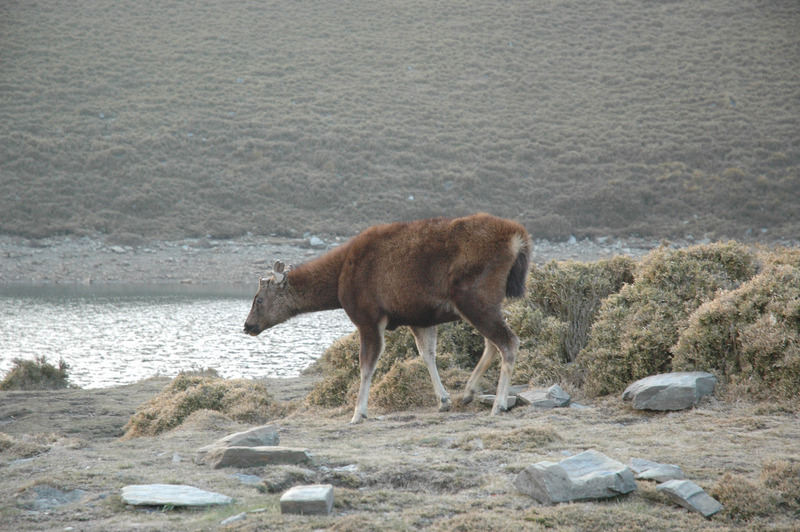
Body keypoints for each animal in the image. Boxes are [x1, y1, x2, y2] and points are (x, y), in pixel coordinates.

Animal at [243, 213, 531, 424]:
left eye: (258, 299)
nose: (247, 326)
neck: (338, 284)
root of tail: (518, 237)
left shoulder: (368, 317)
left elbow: (366, 366)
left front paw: (358, 413)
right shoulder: (419, 317)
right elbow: (427, 355)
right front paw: (443, 400)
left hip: (474, 297)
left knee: (509, 342)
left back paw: (498, 404)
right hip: (485, 302)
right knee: (492, 342)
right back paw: (470, 392)